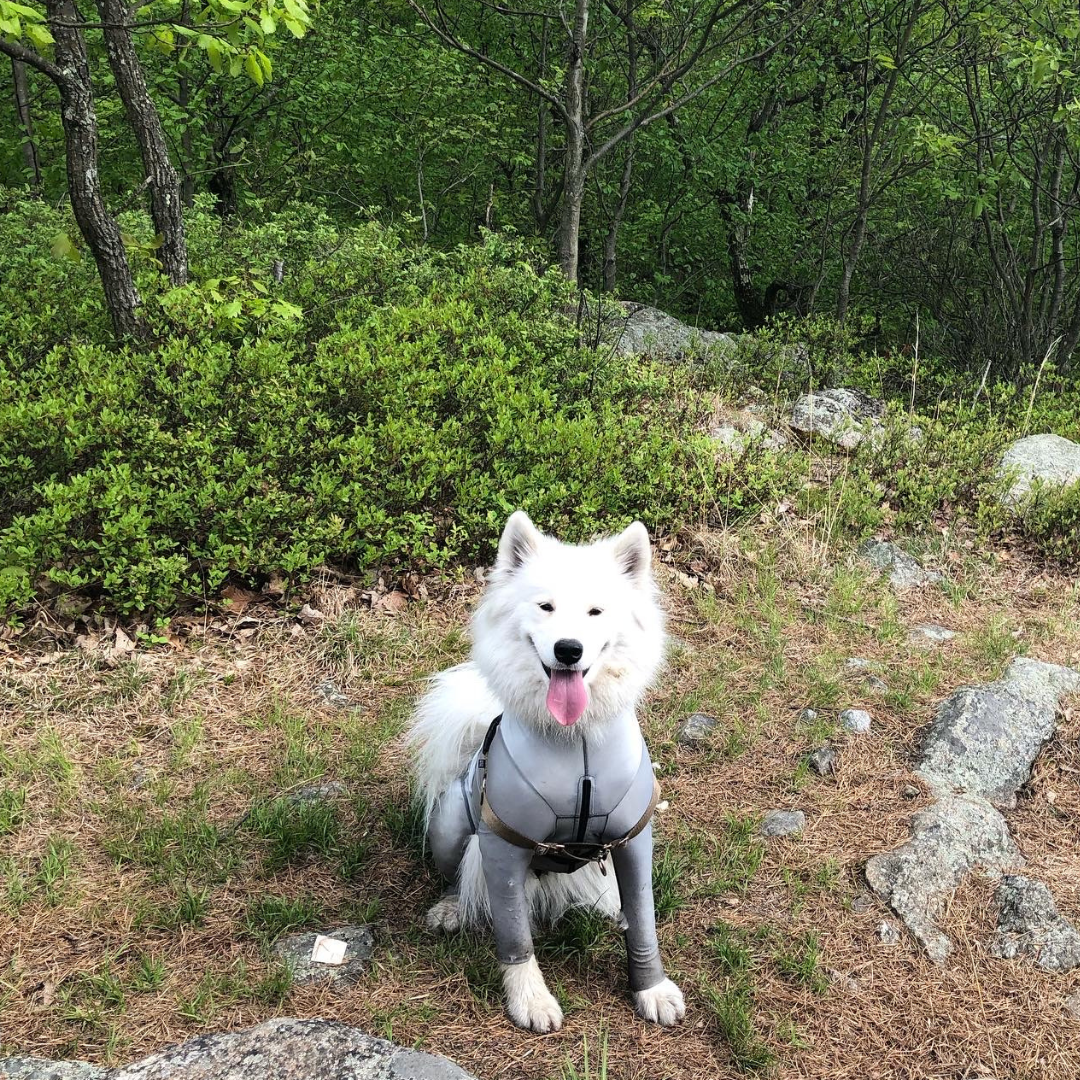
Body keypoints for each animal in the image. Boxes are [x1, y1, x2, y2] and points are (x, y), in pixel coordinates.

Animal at [406, 509, 682, 1032]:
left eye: (595, 612)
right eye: (546, 607)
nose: (568, 649)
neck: (576, 742)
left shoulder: (633, 840)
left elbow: (645, 922)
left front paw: (651, 989)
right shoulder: (503, 846)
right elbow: (516, 938)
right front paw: (530, 1001)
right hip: (449, 826)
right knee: (457, 876)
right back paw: (452, 908)